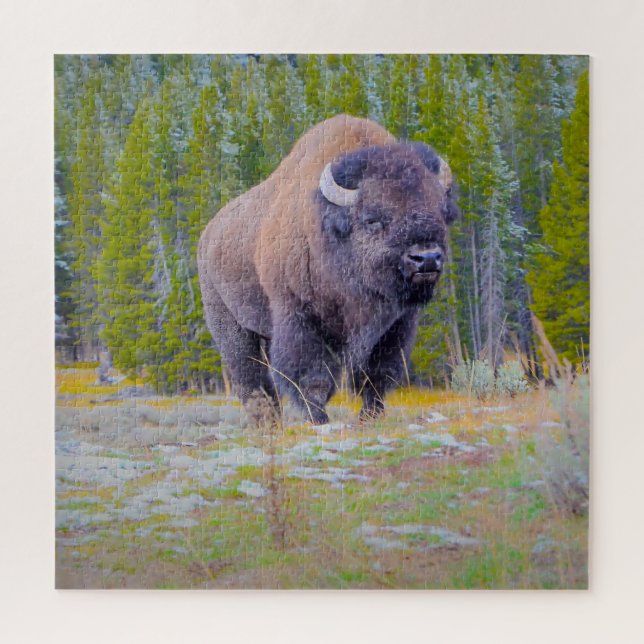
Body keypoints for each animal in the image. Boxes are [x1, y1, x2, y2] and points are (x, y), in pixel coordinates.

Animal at [198, 114, 458, 425]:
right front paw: (319, 420)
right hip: (231, 325)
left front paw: (370, 417)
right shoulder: (300, 318)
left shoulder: (396, 326)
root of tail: (208, 236)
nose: (426, 258)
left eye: (441, 212)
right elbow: (313, 379)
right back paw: (266, 422)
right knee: (250, 378)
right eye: (372, 219)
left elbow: (378, 375)